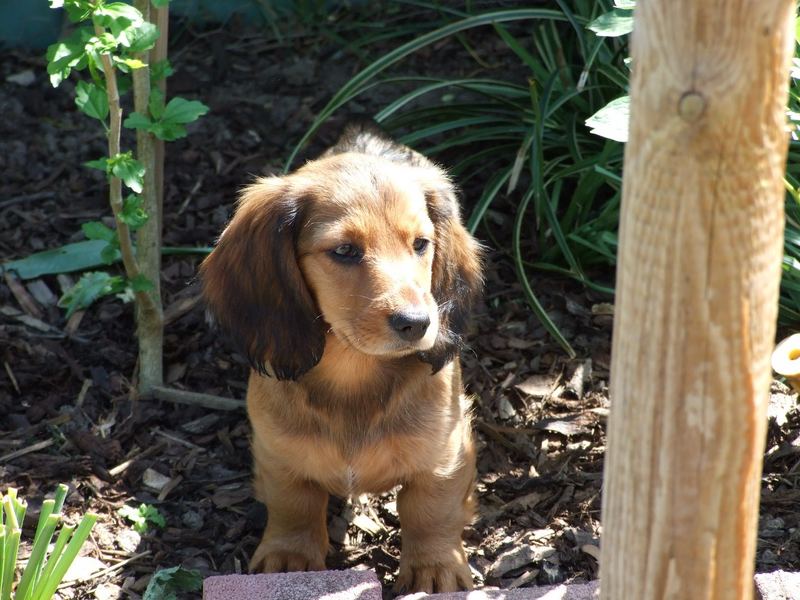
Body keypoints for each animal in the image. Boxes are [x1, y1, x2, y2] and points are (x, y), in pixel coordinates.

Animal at [199, 124, 482, 592]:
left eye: (421, 244)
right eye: (345, 251)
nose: (418, 323)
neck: (354, 375)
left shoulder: (445, 453)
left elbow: (431, 511)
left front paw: (434, 569)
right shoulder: (278, 454)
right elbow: (293, 504)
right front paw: (290, 561)